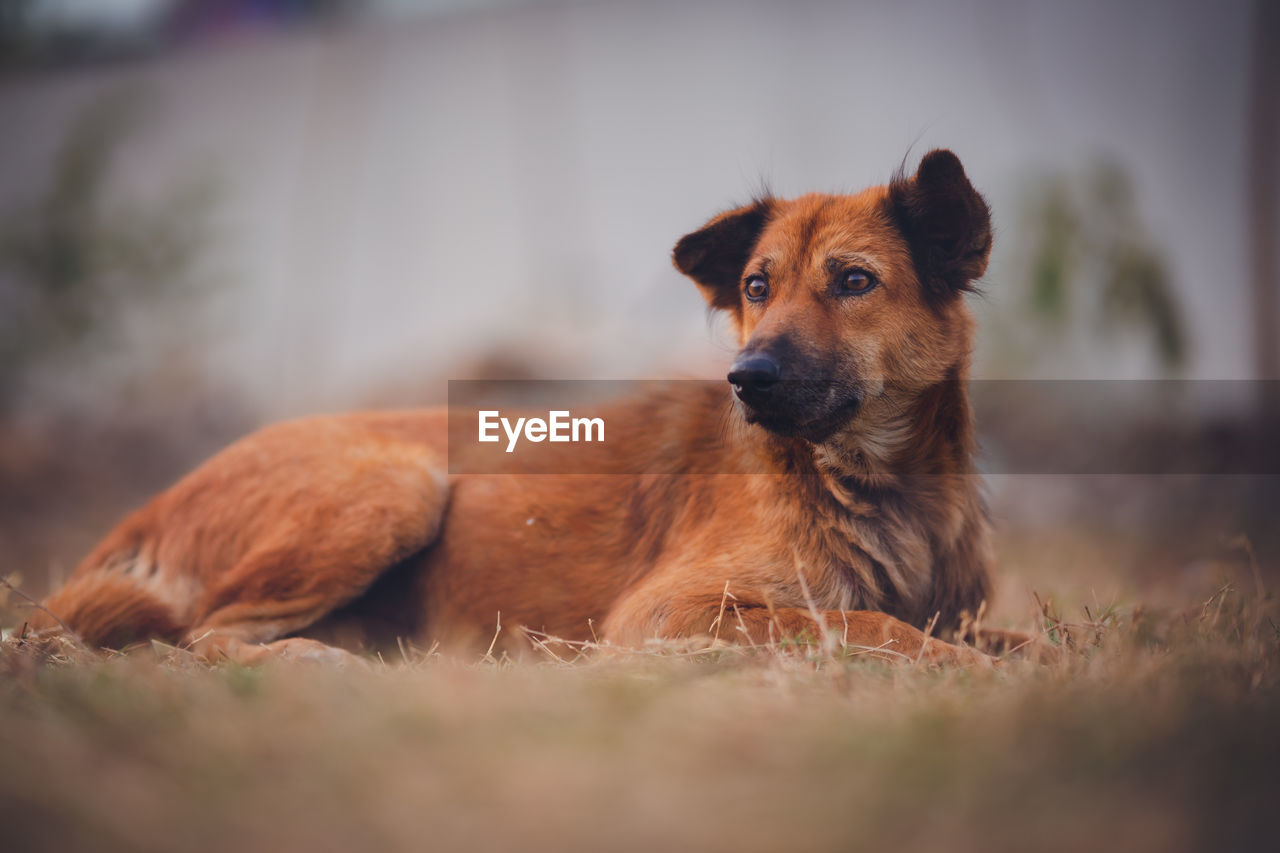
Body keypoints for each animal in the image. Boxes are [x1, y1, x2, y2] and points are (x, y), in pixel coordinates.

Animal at [24, 151, 1013, 666]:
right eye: (756, 288)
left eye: (854, 282)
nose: (748, 377)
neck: (880, 485)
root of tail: (148, 506)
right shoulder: (664, 615)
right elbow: (866, 622)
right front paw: (965, 674)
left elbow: (1002, 632)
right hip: (395, 488)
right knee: (205, 634)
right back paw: (320, 665)